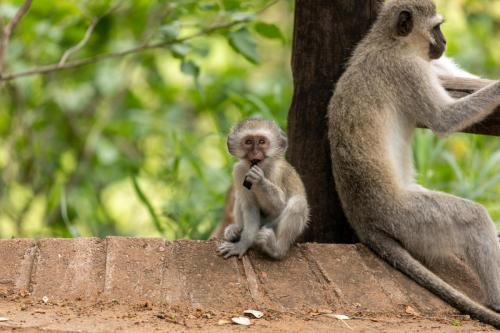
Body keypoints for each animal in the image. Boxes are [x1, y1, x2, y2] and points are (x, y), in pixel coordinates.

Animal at [218, 118, 308, 260]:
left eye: (262, 141)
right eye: (248, 142)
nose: (255, 153)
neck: (263, 167)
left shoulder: (276, 171)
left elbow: (280, 206)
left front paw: (259, 180)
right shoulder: (239, 171)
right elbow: (250, 206)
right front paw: (243, 244)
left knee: (298, 203)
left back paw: (276, 249)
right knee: (240, 197)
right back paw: (237, 229)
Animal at [326, 0, 500, 326]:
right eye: (437, 27)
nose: (444, 42)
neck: (388, 42)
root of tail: (363, 220)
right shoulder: (408, 70)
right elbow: (444, 120)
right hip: (410, 219)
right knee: (471, 218)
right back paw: (497, 300)